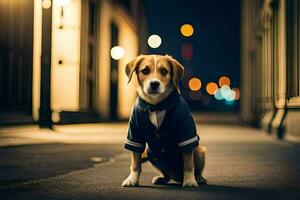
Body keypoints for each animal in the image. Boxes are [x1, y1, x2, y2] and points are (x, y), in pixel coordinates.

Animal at [122, 54, 206, 188]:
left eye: (164, 71)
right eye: (145, 71)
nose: (154, 84)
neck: (156, 105)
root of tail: (177, 177)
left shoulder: (186, 135)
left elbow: (188, 164)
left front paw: (189, 180)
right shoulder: (134, 135)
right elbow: (135, 164)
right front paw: (132, 179)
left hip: (200, 149)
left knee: (195, 168)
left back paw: (198, 178)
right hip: (152, 154)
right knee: (166, 174)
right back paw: (162, 178)